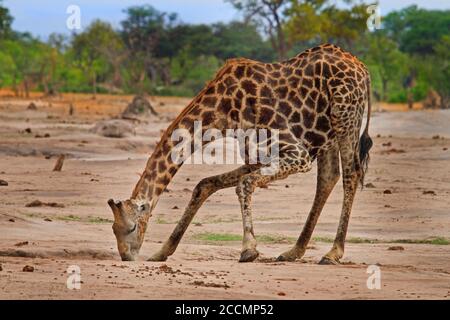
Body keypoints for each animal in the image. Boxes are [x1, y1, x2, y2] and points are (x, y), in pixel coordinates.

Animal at [108, 43, 372, 264]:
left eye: (132, 227)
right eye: (113, 229)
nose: (126, 256)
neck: (224, 111)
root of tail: (363, 68)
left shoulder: (297, 154)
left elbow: (243, 184)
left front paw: (249, 249)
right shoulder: (256, 157)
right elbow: (205, 184)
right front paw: (162, 251)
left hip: (345, 117)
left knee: (351, 175)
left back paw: (333, 252)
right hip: (326, 133)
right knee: (328, 177)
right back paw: (294, 251)